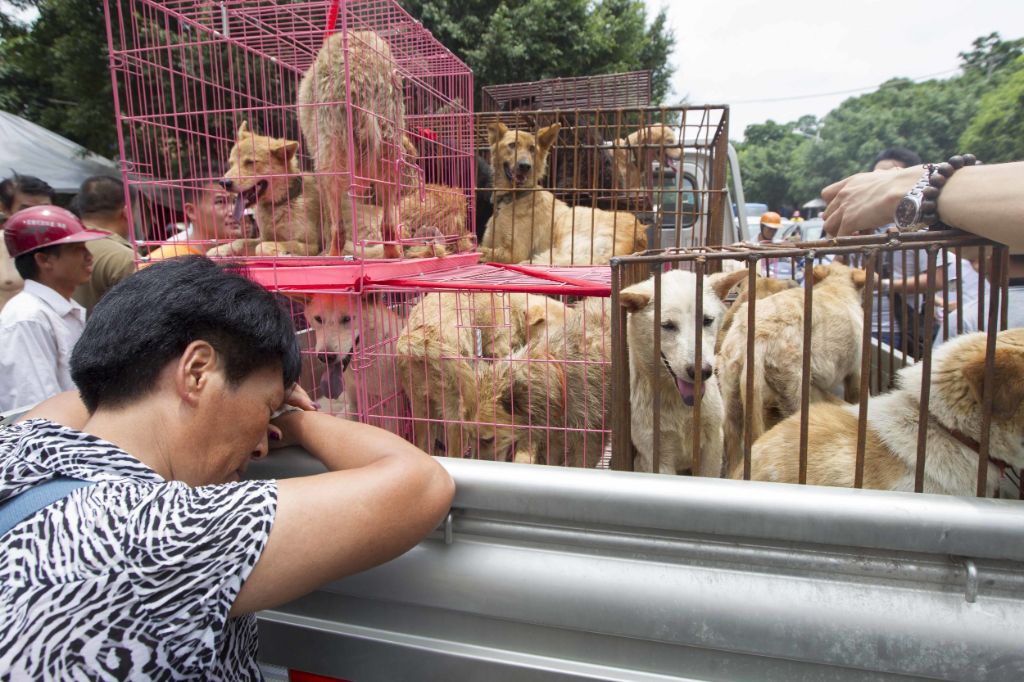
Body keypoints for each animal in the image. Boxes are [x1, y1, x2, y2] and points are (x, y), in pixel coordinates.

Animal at [481, 120, 647, 264]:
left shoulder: (514, 252)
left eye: (532, 149)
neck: (512, 197)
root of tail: (639, 234)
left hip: (569, 224)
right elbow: (481, 247)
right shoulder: (489, 241)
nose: (525, 166)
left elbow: (482, 251)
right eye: (512, 145)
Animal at [610, 268, 741, 475]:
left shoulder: (713, 446)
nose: (701, 371)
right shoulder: (657, 455)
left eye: (707, 320)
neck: (680, 407)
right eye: (667, 325)